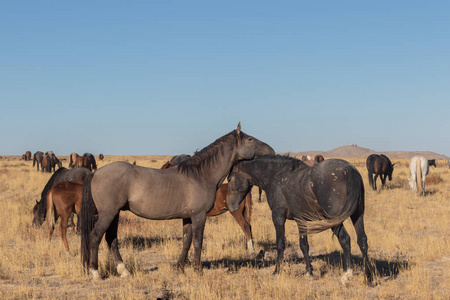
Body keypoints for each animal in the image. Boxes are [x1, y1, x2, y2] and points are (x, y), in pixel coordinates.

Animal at [79, 123, 272, 280]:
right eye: (250, 139)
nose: (271, 151)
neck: (201, 175)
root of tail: (95, 173)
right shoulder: (199, 216)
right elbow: (198, 242)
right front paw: (197, 269)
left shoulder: (187, 218)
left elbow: (186, 241)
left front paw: (180, 267)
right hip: (108, 214)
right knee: (95, 237)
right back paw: (95, 273)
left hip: (115, 214)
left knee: (111, 239)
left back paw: (124, 270)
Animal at [227, 156, 374, 284]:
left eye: (230, 179)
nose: (230, 205)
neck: (276, 176)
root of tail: (349, 170)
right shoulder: (301, 220)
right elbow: (304, 246)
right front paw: (309, 272)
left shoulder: (278, 216)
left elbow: (280, 244)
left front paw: (277, 271)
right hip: (357, 215)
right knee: (362, 240)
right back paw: (368, 277)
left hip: (335, 220)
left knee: (345, 240)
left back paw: (347, 275)